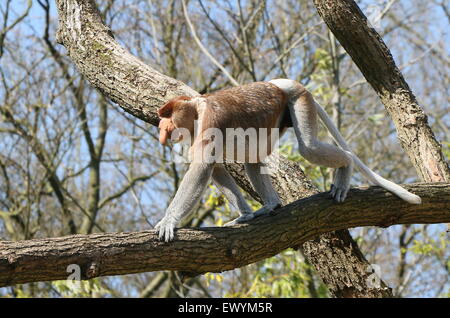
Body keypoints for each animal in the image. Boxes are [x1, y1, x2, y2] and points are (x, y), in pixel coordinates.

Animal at [156, 79, 422, 241]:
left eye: (167, 115)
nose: (162, 128)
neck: (198, 108)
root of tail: (282, 83)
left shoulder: (210, 120)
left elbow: (202, 167)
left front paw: (168, 221)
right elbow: (216, 168)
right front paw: (245, 214)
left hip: (300, 100)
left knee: (309, 148)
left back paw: (345, 165)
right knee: (252, 158)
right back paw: (270, 205)